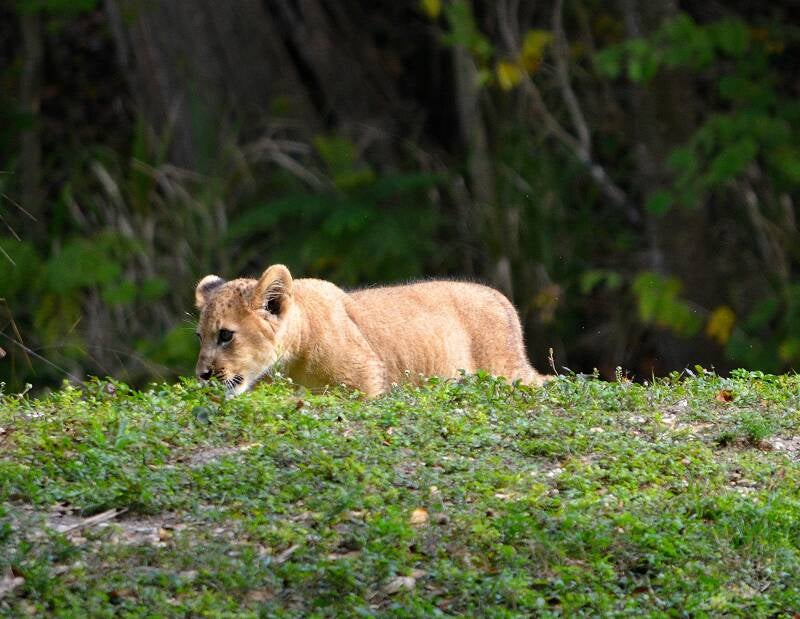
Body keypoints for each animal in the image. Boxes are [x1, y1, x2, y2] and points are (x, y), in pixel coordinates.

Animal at [194, 264, 547, 397]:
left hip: (505, 370)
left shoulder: (365, 381)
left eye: (225, 335)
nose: (203, 375)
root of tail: (500, 298)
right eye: (200, 336)